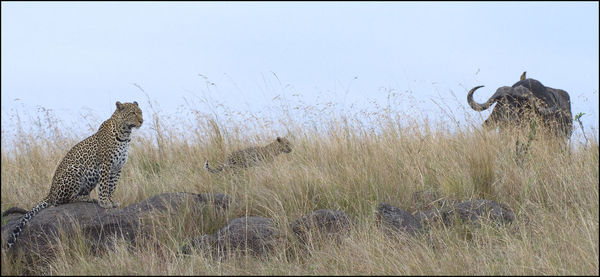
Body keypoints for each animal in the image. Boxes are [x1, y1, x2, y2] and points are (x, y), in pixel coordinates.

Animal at [5, 100, 143, 249]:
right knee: (61, 201)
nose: (142, 121)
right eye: (132, 113)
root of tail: (50, 192)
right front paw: (105, 202)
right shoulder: (105, 165)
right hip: (75, 171)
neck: (125, 134)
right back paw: (86, 198)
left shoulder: (117, 168)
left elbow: (112, 187)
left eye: (140, 112)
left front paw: (112, 201)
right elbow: (104, 186)